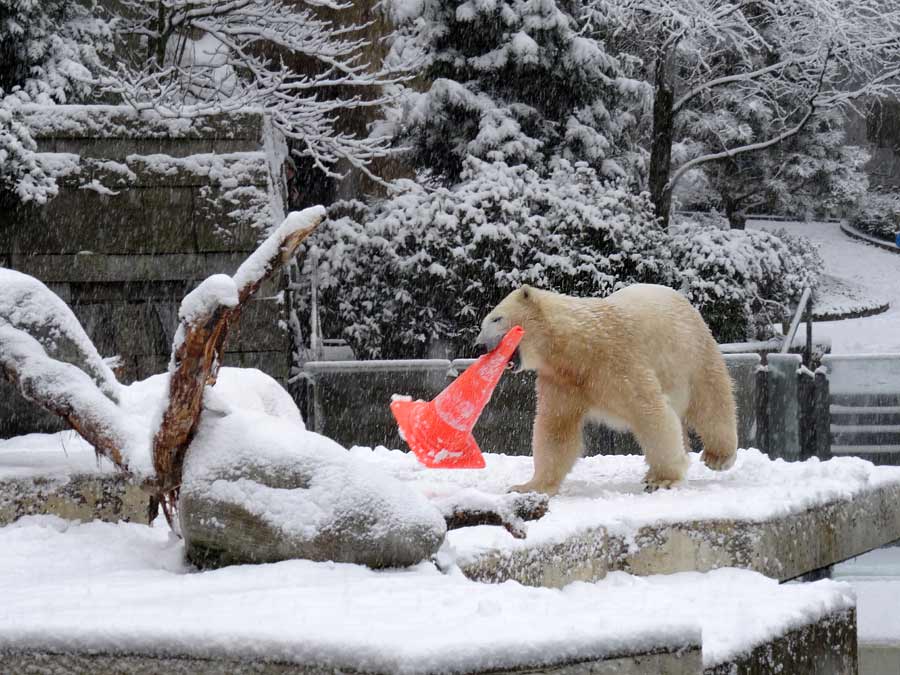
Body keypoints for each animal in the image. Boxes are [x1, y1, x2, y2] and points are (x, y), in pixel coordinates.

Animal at [474, 282, 736, 494]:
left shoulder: (617, 360)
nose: (479, 346)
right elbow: (556, 428)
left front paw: (663, 480)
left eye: (496, 318)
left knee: (711, 401)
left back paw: (718, 457)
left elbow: (650, 412)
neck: (578, 347)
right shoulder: (562, 380)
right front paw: (528, 487)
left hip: (693, 352)